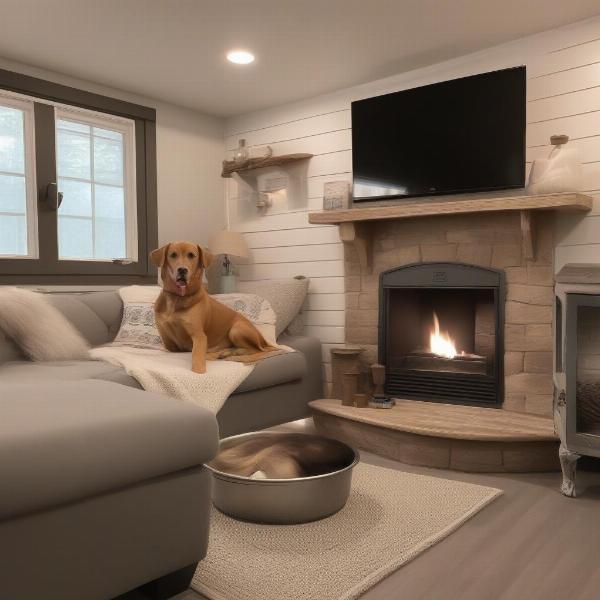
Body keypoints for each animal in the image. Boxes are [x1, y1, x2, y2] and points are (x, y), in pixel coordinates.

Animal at [149, 240, 274, 372]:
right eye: (173, 255)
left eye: (191, 255)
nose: (182, 270)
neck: (176, 298)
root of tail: (263, 340)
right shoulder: (169, 343)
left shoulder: (199, 336)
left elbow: (197, 357)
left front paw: (198, 370)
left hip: (236, 329)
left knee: (257, 350)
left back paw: (230, 353)